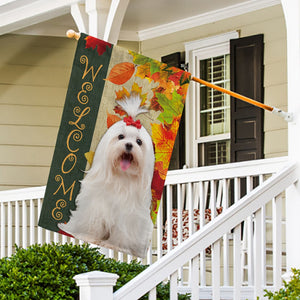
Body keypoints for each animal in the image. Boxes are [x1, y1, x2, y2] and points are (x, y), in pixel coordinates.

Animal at [59, 94, 156, 258]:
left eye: (139, 141)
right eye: (121, 137)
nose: (129, 145)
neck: (122, 177)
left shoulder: (127, 216)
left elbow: (121, 233)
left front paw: (115, 246)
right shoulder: (96, 206)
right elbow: (95, 223)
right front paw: (90, 237)